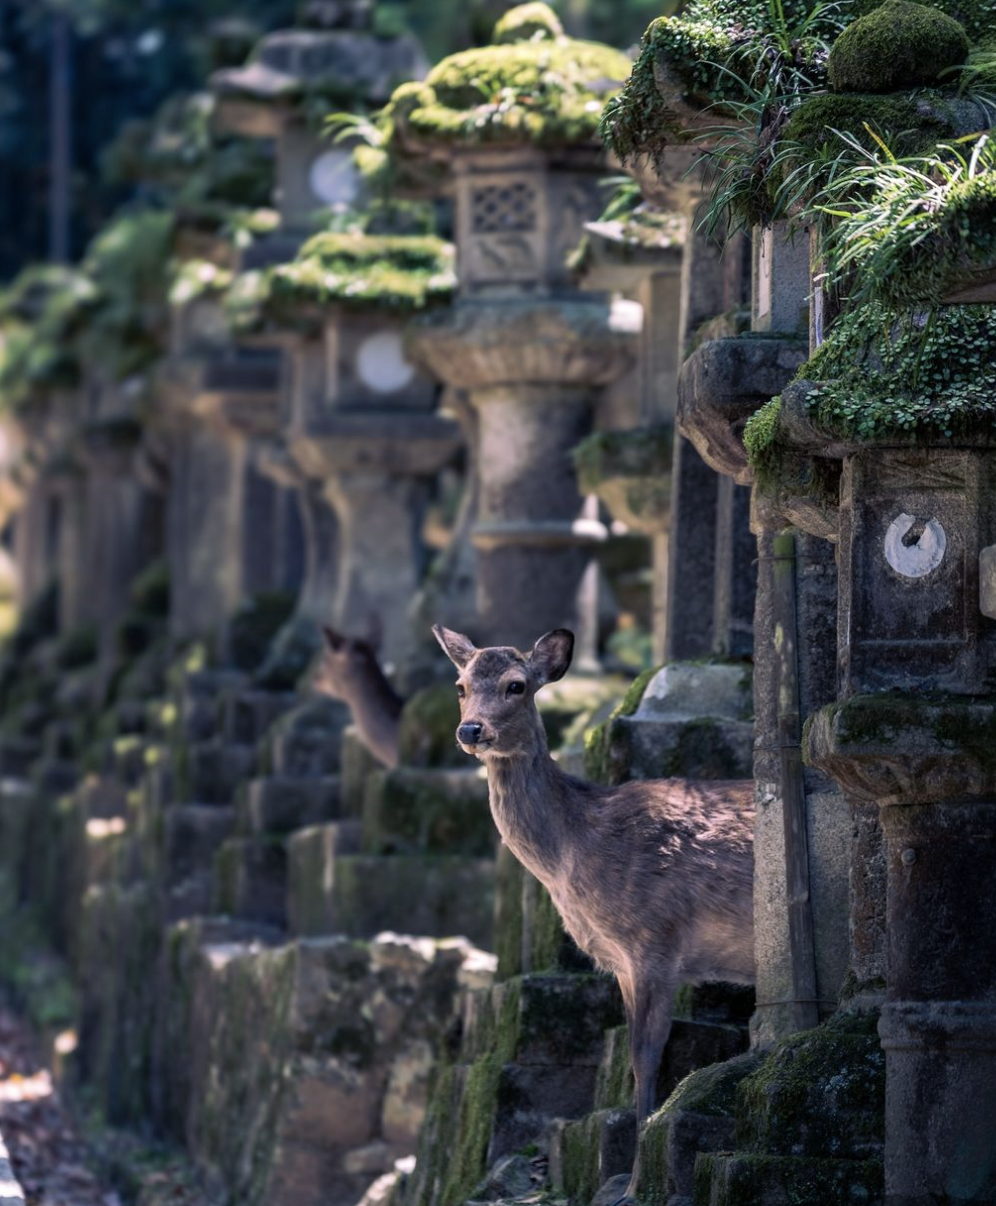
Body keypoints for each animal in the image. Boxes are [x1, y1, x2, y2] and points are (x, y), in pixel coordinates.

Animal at [431, 627, 747, 1201]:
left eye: (517, 685)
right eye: (461, 685)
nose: (471, 729)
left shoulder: (655, 940)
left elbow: (645, 1057)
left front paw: (634, 1183)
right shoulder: (622, 962)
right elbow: (632, 1060)